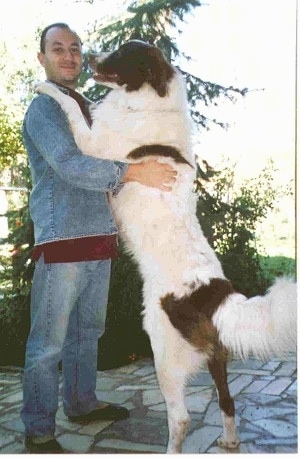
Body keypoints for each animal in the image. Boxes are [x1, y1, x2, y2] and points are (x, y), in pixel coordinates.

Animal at [35, 40, 298, 454]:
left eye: (122, 53)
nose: (88, 55)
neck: (149, 100)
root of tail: (215, 294)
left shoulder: (92, 147)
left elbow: (73, 108)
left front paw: (46, 87)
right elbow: (83, 103)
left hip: (164, 355)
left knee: (182, 418)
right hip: (216, 358)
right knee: (227, 401)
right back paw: (229, 439)